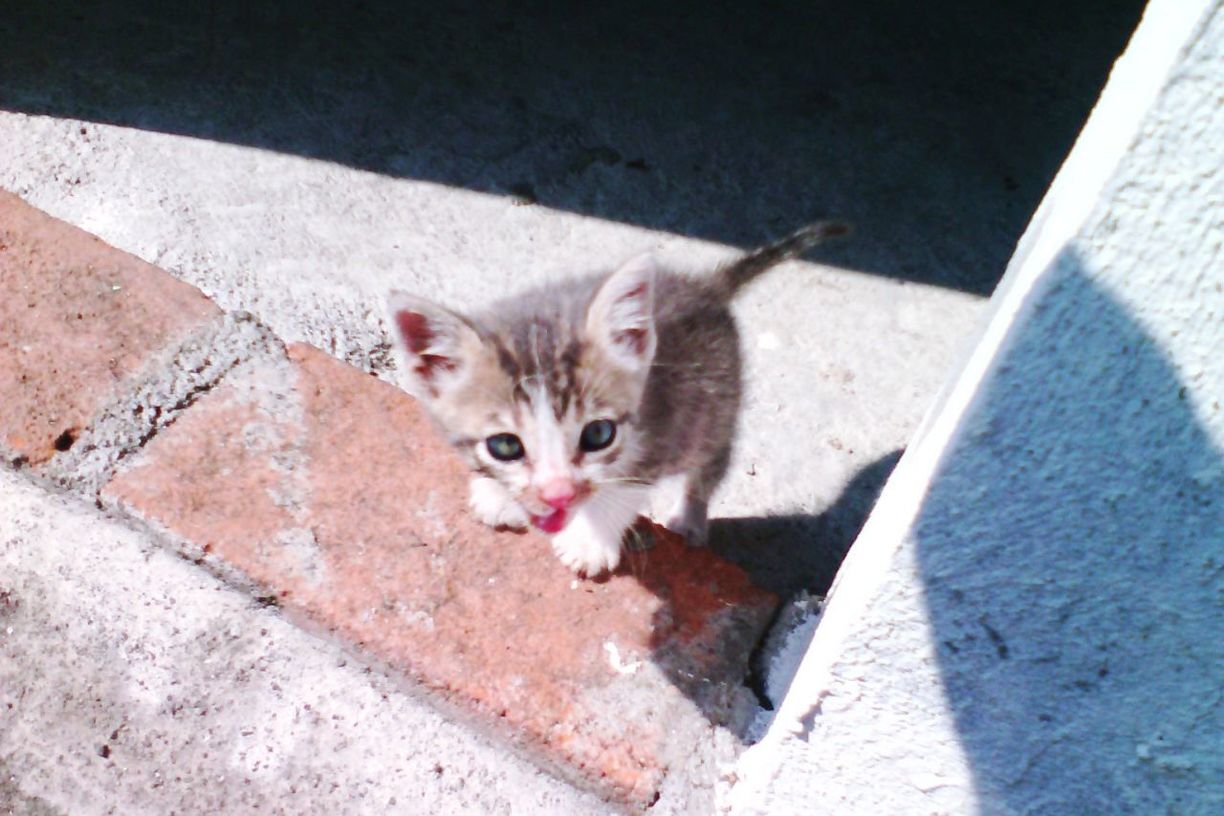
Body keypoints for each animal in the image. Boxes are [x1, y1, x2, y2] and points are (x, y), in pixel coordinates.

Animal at [386, 223, 847, 577]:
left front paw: (589, 542)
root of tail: (705, 287)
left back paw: (690, 519)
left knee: (710, 463)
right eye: (504, 445)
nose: (558, 496)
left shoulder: (664, 422)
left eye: (598, 435)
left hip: (713, 409)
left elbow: (622, 488)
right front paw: (499, 494)